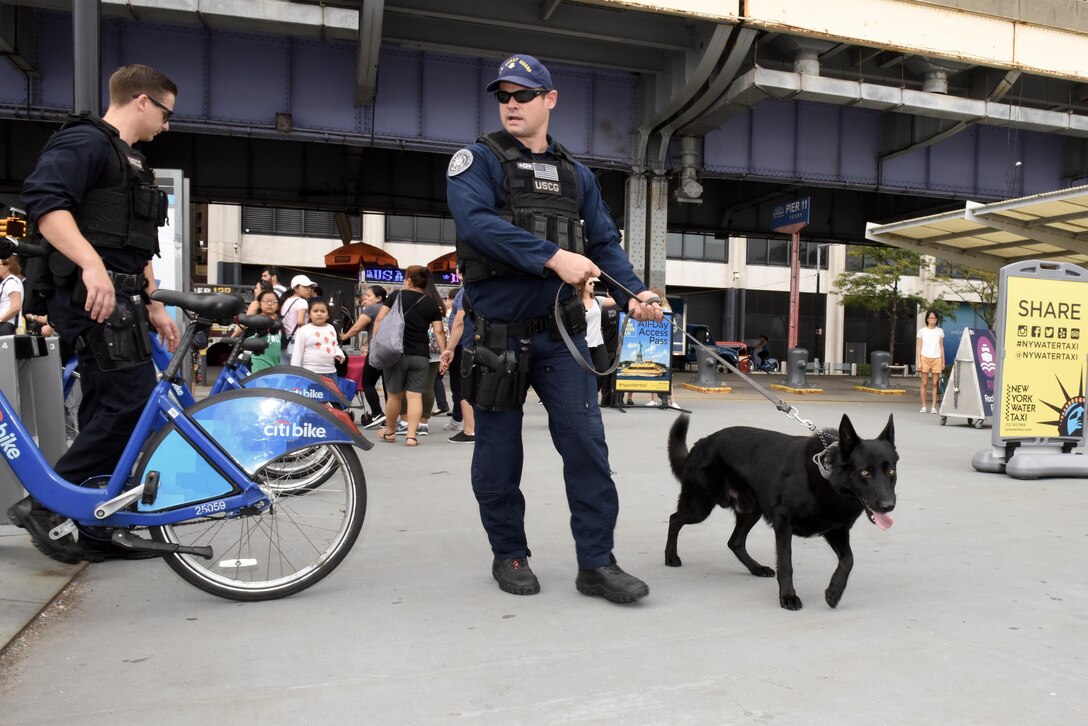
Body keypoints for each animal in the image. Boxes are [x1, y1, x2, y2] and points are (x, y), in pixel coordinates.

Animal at [665, 411, 896, 609]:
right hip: (699, 506)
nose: (889, 505)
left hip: (751, 511)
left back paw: (756, 568)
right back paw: (671, 557)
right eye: (865, 471)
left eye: (891, 471)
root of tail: (701, 442)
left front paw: (834, 592)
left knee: (735, 542)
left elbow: (848, 560)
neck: (828, 478)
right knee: (674, 519)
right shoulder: (784, 522)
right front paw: (788, 596)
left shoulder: (836, 531)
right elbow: (786, 563)